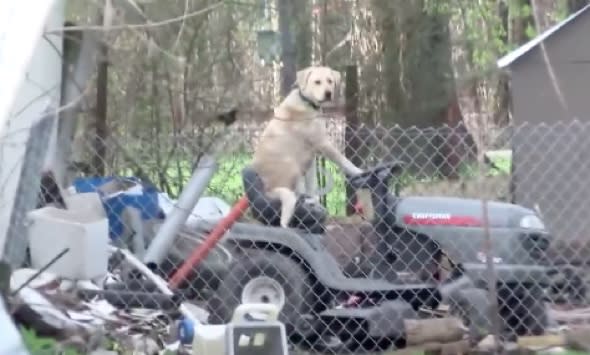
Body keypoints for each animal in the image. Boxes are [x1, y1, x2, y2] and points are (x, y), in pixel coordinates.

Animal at [251, 66, 364, 228]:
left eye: (330, 81)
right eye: (317, 82)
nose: (328, 93)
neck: (307, 103)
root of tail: (268, 189)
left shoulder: (310, 157)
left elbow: (312, 185)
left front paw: (313, 200)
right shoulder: (323, 143)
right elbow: (344, 161)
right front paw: (358, 171)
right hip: (291, 165)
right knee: (292, 194)